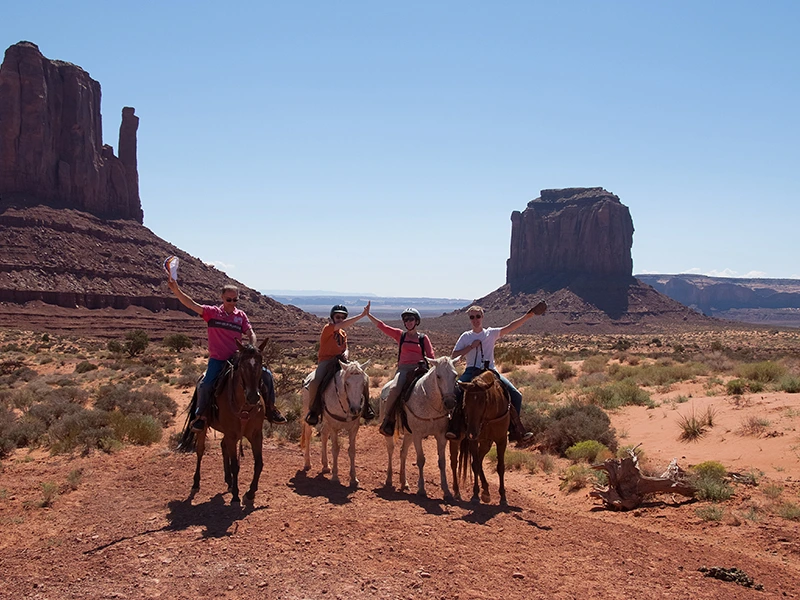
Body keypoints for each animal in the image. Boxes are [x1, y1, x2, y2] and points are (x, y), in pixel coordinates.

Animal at [177, 339, 267, 504]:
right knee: (200, 451)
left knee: (223, 446)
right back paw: (196, 483)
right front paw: (236, 496)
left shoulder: (256, 435)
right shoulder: (232, 435)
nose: (253, 397)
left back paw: (229, 481)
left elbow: (259, 463)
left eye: (260, 363)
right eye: (242, 365)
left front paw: (250, 493)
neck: (244, 407)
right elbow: (235, 465)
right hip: (204, 427)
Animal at [379, 356, 458, 500]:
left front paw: (446, 491)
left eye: (455, 375)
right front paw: (421, 489)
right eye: (438, 376)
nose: (450, 402)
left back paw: (404, 482)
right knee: (391, 450)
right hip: (392, 433)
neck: (430, 402)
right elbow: (421, 460)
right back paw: (388, 479)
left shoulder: (441, 436)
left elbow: (442, 461)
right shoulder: (418, 435)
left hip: (408, 434)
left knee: (403, 452)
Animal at [455, 370, 511, 505]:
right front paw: (475, 495)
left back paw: (486, 491)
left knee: (479, 460)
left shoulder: (501, 440)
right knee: (464, 462)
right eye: (465, 402)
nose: (471, 432)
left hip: (486, 443)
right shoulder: (474, 441)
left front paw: (503, 497)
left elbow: (500, 467)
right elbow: (475, 465)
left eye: (483, 402)